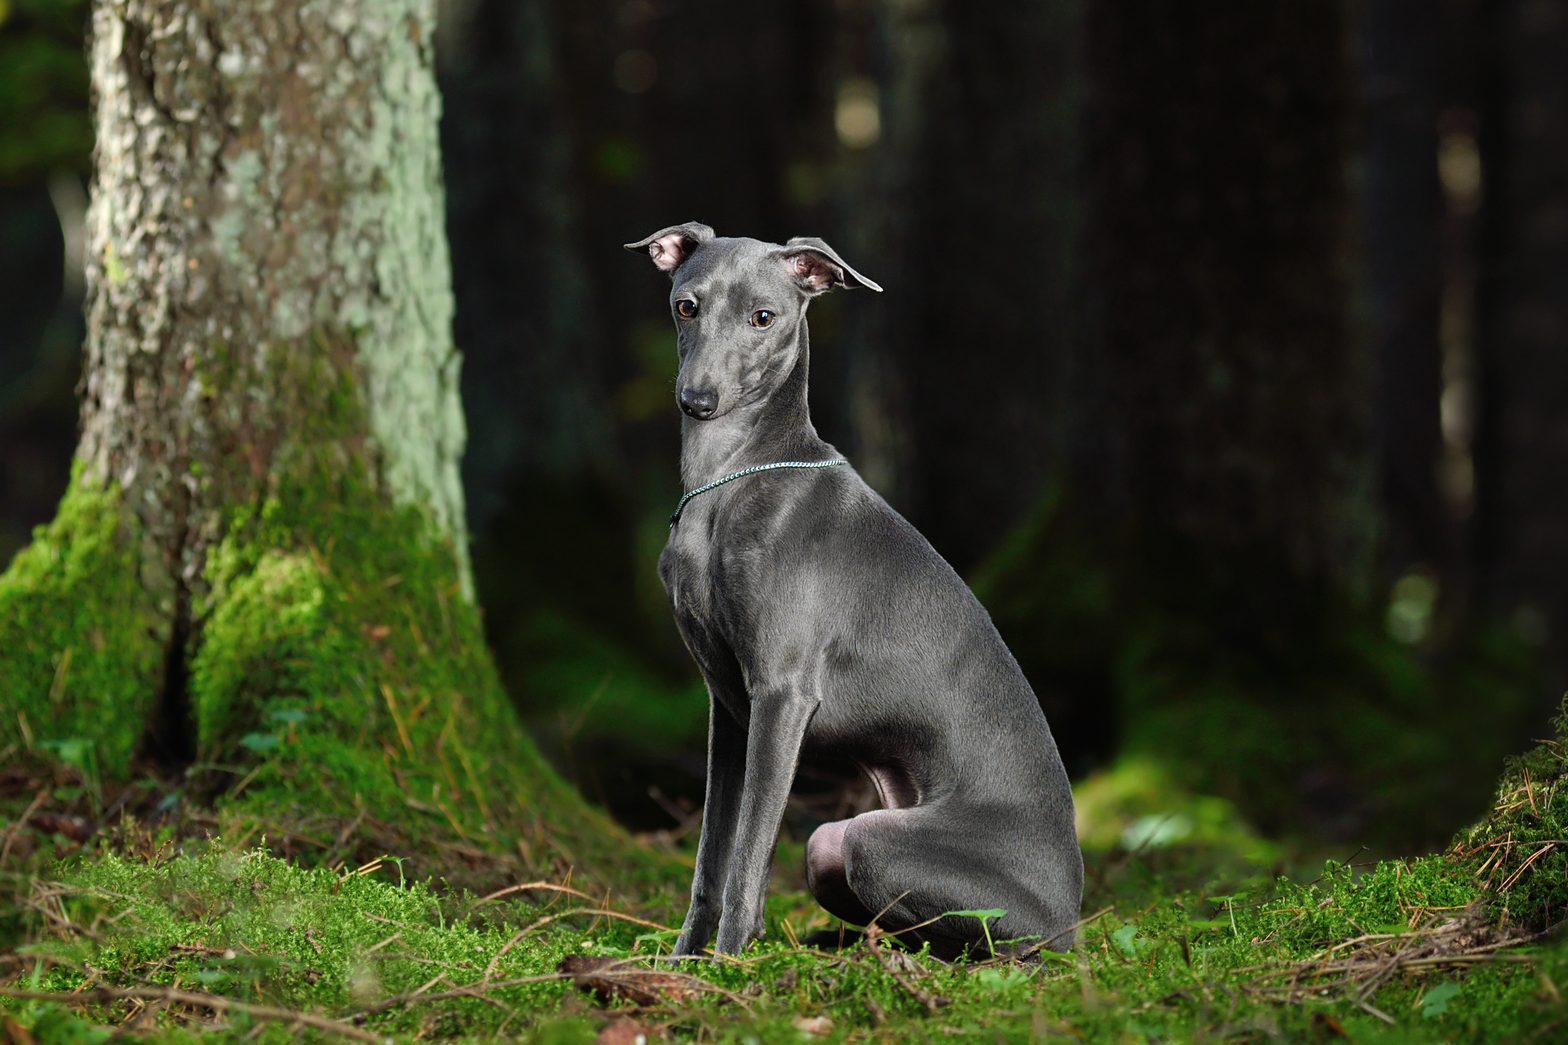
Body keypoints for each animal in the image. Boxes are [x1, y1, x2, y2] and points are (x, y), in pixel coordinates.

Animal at [624, 224, 1078, 953]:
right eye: (686, 306)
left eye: (764, 317)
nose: (698, 401)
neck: (732, 476)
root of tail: (1076, 911)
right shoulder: (729, 705)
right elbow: (712, 854)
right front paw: (684, 962)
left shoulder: (781, 694)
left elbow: (748, 855)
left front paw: (727, 965)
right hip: (840, 845)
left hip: (859, 838)